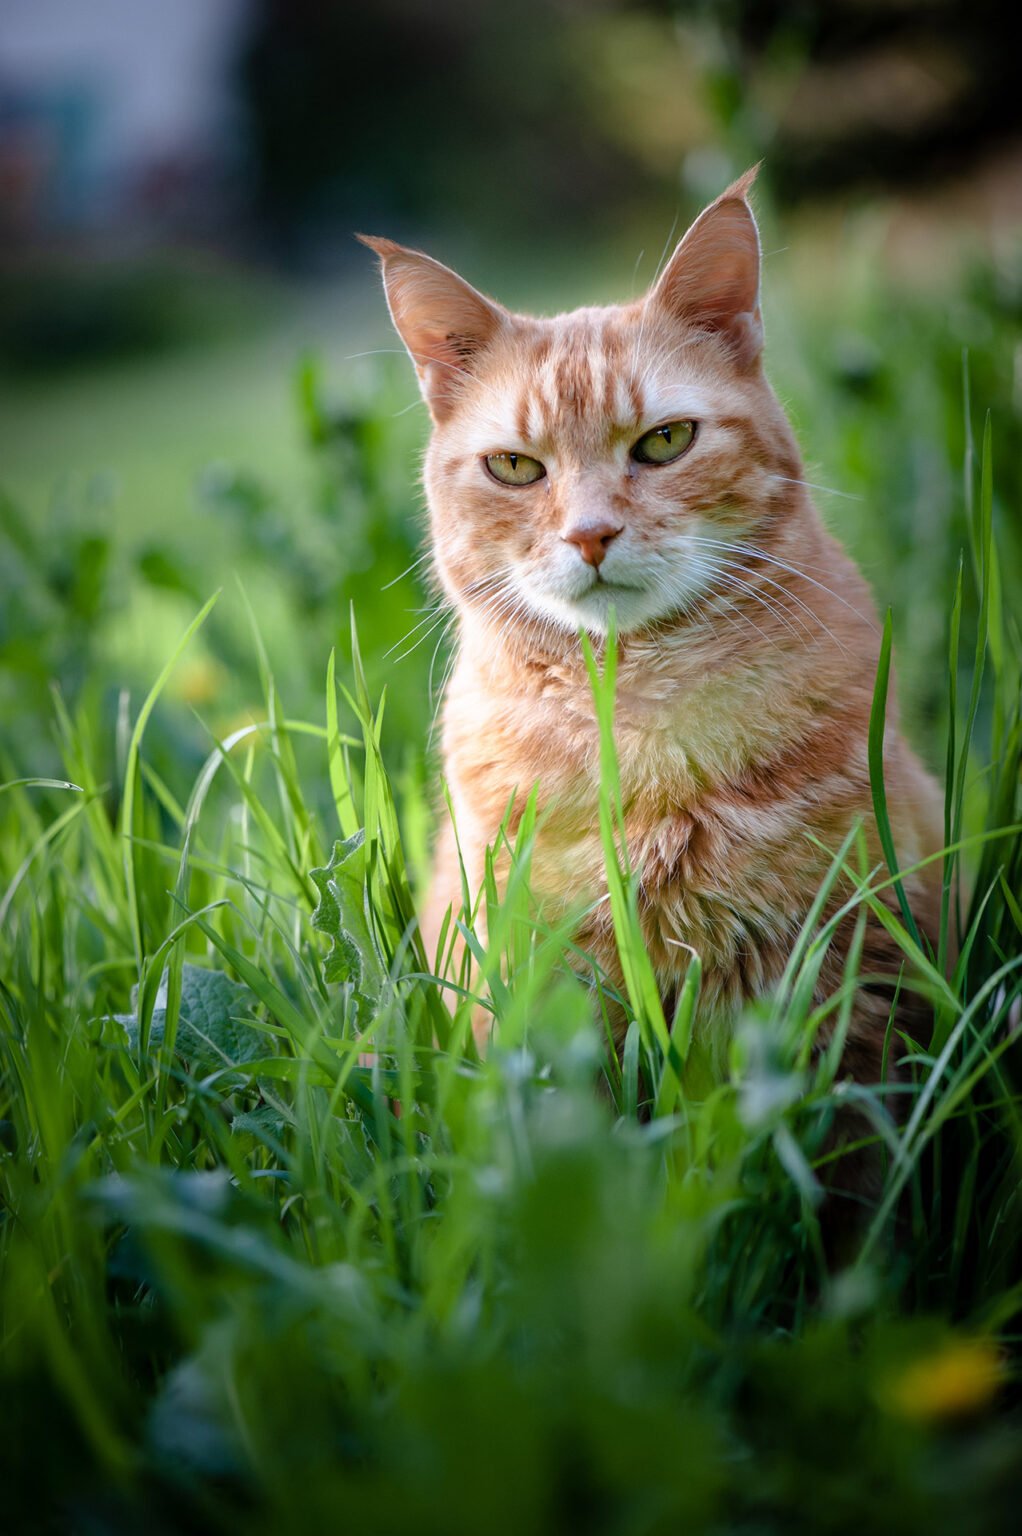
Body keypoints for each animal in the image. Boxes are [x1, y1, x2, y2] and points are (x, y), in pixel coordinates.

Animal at [362, 168, 946, 1124]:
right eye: (516, 468)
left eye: (665, 442)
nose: (590, 534)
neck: (637, 731)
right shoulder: (542, 989)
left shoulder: (850, 973)